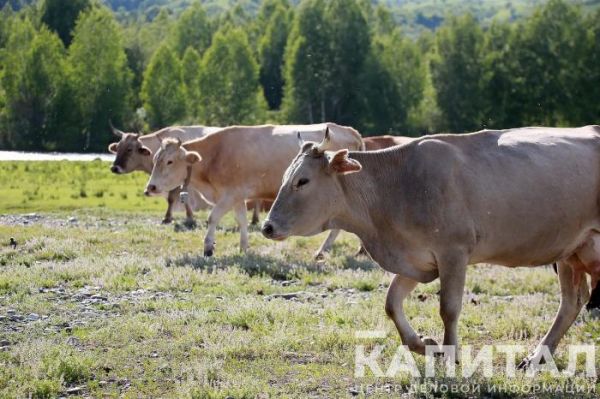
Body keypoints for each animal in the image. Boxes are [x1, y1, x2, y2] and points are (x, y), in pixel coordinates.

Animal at [145, 123, 364, 258]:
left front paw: (208, 247)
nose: (151, 187)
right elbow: (241, 219)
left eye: (170, 161)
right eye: (154, 159)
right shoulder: (238, 196)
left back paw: (323, 250)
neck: (216, 154)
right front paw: (243, 247)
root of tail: (349, 130)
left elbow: (213, 217)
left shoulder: (230, 194)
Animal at [262, 126, 600, 370]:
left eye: (302, 181)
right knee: (571, 303)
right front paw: (427, 346)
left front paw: (451, 355)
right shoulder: (417, 260)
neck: (396, 185)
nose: (267, 226)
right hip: (571, 251)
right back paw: (536, 358)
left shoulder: (453, 251)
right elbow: (391, 303)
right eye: (285, 177)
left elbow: (448, 308)